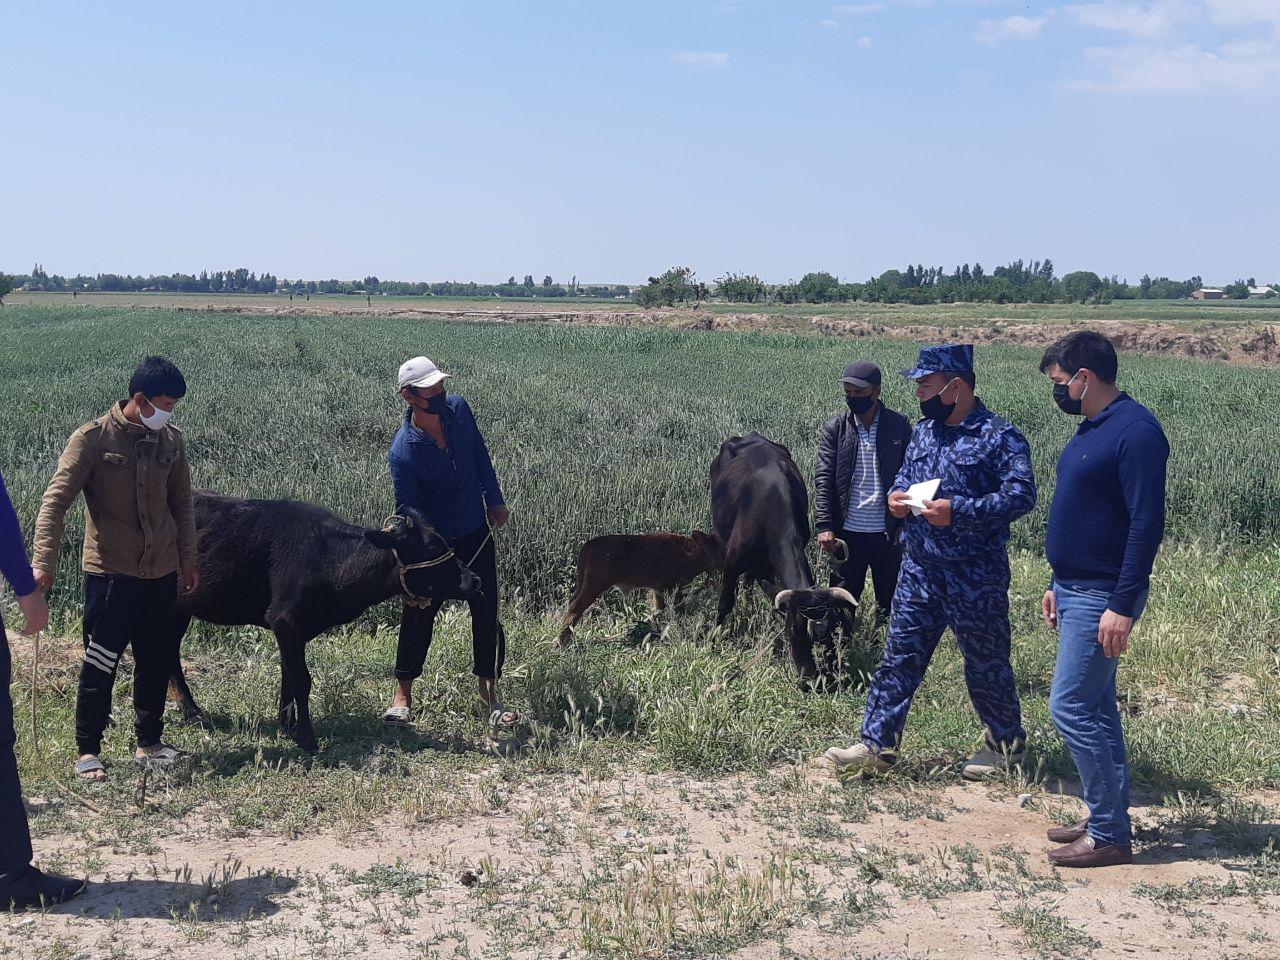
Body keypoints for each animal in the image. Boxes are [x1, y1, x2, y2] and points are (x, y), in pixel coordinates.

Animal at [170, 491, 481, 757]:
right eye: (432, 546)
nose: (475, 579)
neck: (330, 560)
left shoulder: (292, 630)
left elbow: (287, 677)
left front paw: (288, 725)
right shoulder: (285, 621)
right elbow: (300, 680)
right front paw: (307, 737)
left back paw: (191, 711)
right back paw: (191, 711)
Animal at [558, 535, 727, 647]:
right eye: (720, 549)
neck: (689, 552)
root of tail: (590, 543)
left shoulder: (659, 590)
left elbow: (658, 610)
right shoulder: (674, 588)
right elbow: (677, 611)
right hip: (594, 585)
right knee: (575, 608)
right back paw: (562, 641)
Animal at [711, 435, 860, 686]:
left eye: (830, 635)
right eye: (794, 631)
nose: (811, 682)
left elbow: (774, 605)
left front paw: (778, 652)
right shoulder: (732, 560)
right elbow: (725, 603)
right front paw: (711, 639)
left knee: (748, 583)